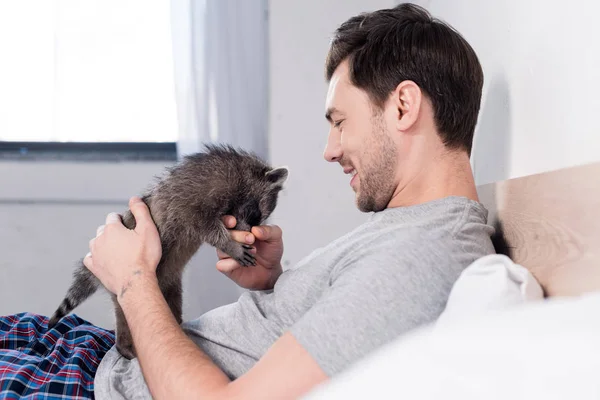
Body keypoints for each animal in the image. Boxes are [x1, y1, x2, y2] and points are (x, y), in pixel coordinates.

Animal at [49, 144, 288, 360]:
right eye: (255, 215)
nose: (249, 235)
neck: (240, 173)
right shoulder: (200, 194)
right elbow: (205, 226)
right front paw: (230, 244)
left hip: (170, 284)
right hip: (123, 295)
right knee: (124, 316)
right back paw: (123, 344)